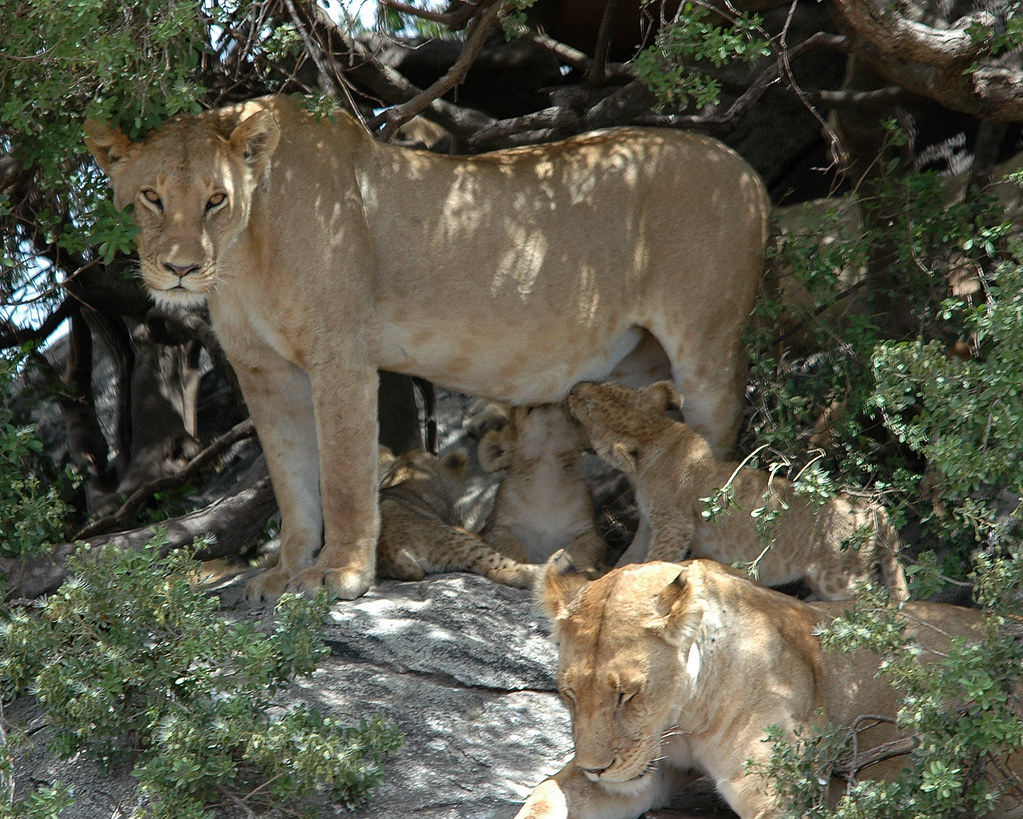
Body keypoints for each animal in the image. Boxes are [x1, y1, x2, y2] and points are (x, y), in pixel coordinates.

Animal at [477, 404, 607, 570]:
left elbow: (582, 549)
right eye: (514, 408)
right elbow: (511, 550)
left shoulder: (589, 532)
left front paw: (581, 569)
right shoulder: (499, 530)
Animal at [515, 556, 1023, 819]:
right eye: (569, 694)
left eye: (628, 694)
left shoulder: (774, 791)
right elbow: (546, 794)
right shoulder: (653, 771)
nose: (596, 769)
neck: (684, 718)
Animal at [568, 380, 909, 602]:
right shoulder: (652, 521)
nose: (573, 389)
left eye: (588, 407)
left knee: (870, 597)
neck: (654, 435)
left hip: (838, 577)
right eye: (604, 384)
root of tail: (868, 509)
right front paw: (610, 575)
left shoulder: (674, 523)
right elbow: (632, 554)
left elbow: (657, 558)